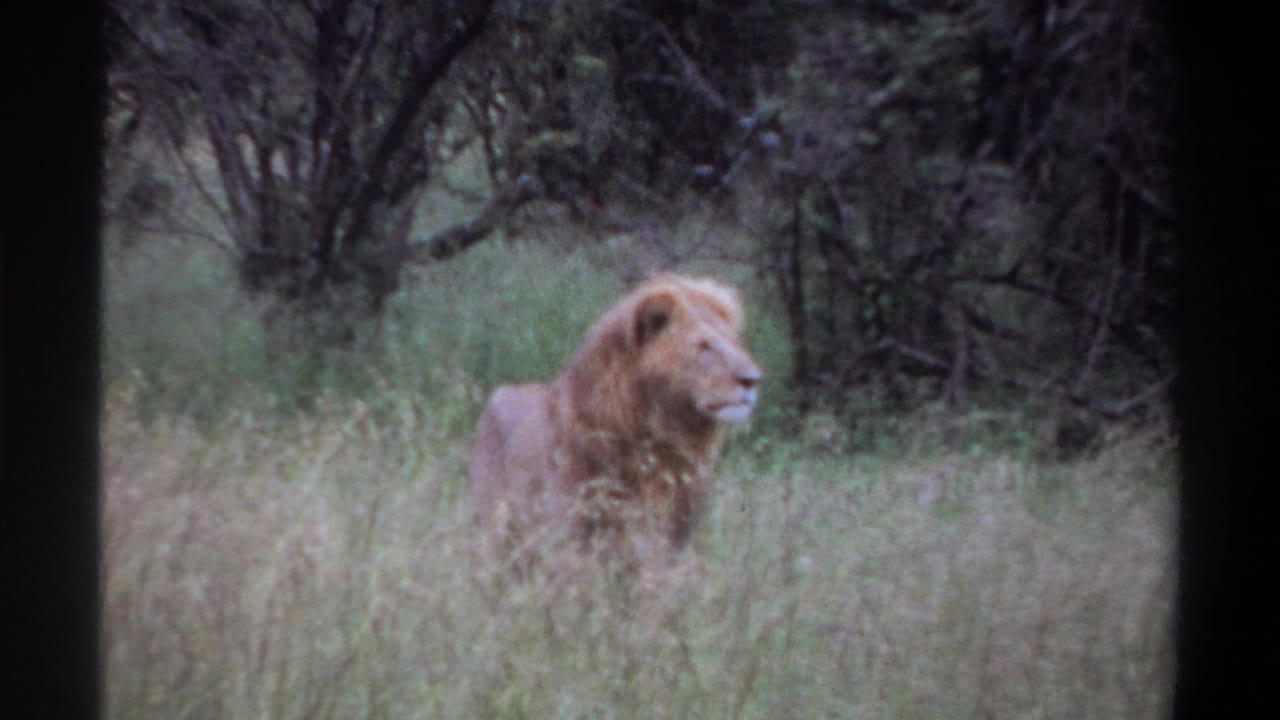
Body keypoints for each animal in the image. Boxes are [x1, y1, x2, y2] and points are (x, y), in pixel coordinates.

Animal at [468, 273, 762, 570]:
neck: (662, 440)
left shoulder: (668, 546)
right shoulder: (569, 543)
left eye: (735, 341)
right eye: (704, 346)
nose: (753, 379)